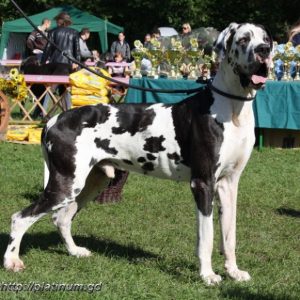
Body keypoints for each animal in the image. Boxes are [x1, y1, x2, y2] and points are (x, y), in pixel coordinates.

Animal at [4, 23, 272, 284]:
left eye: (266, 39)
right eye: (243, 39)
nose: (264, 51)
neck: (232, 108)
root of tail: (54, 120)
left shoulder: (229, 184)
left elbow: (229, 234)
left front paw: (233, 271)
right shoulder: (203, 183)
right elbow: (206, 236)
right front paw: (207, 275)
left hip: (92, 182)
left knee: (61, 218)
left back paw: (74, 251)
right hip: (66, 184)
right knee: (20, 217)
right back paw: (12, 261)